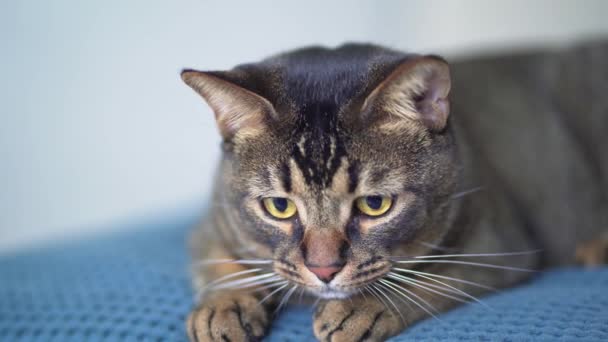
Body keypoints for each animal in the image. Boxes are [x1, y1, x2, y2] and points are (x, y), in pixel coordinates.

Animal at [180, 41, 608, 340]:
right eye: (279, 206)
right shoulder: (213, 222)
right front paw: (223, 308)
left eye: (375, 204)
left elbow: (432, 279)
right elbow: (218, 264)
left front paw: (364, 308)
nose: (324, 270)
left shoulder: (499, 245)